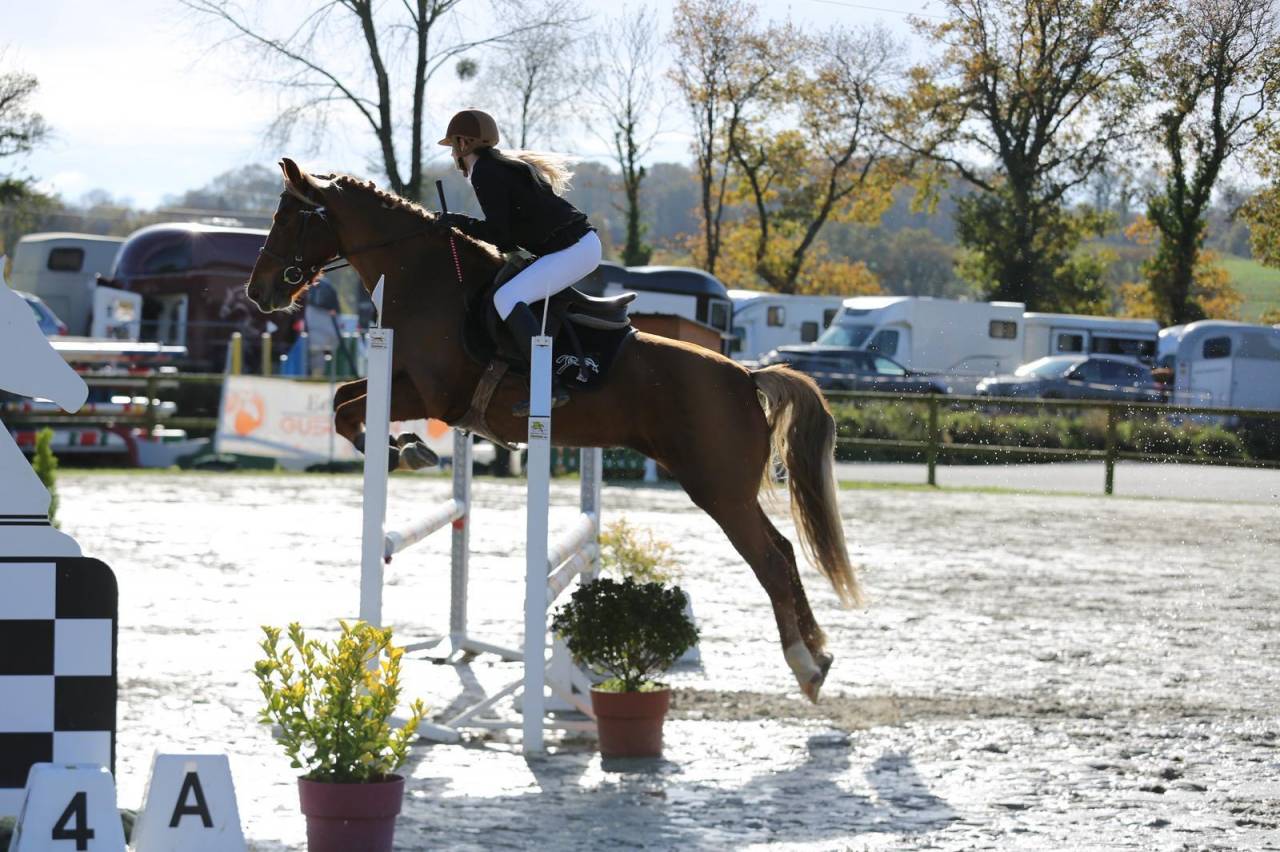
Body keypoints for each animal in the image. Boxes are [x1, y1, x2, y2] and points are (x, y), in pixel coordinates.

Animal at [246, 158, 862, 702]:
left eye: (289, 217)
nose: (259, 291)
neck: (424, 278)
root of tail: (746, 375)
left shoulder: (436, 395)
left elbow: (348, 410)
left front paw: (405, 449)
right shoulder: (402, 378)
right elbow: (342, 402)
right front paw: (406, 448)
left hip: (717, 489)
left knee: (772, 561)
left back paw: (806, 667)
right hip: (726, 489)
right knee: (784, 551)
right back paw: (822, 654)